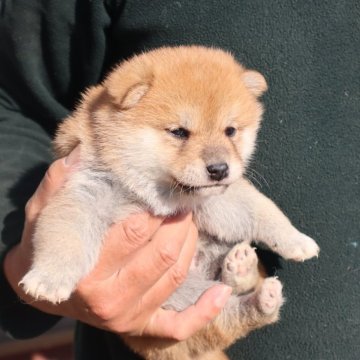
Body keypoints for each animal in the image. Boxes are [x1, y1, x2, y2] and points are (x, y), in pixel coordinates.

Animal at [19, 46, 320, 358]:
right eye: (179, 132)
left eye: (230, 131)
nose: (219, 169)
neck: (155, 192)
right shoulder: (85, 193)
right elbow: (66, 237)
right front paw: (49, 279)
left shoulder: (215, 202)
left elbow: (261, 210)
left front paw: (295, 239)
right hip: (186, 298)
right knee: (225, 316)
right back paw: (256, 294)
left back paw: (246, 274)